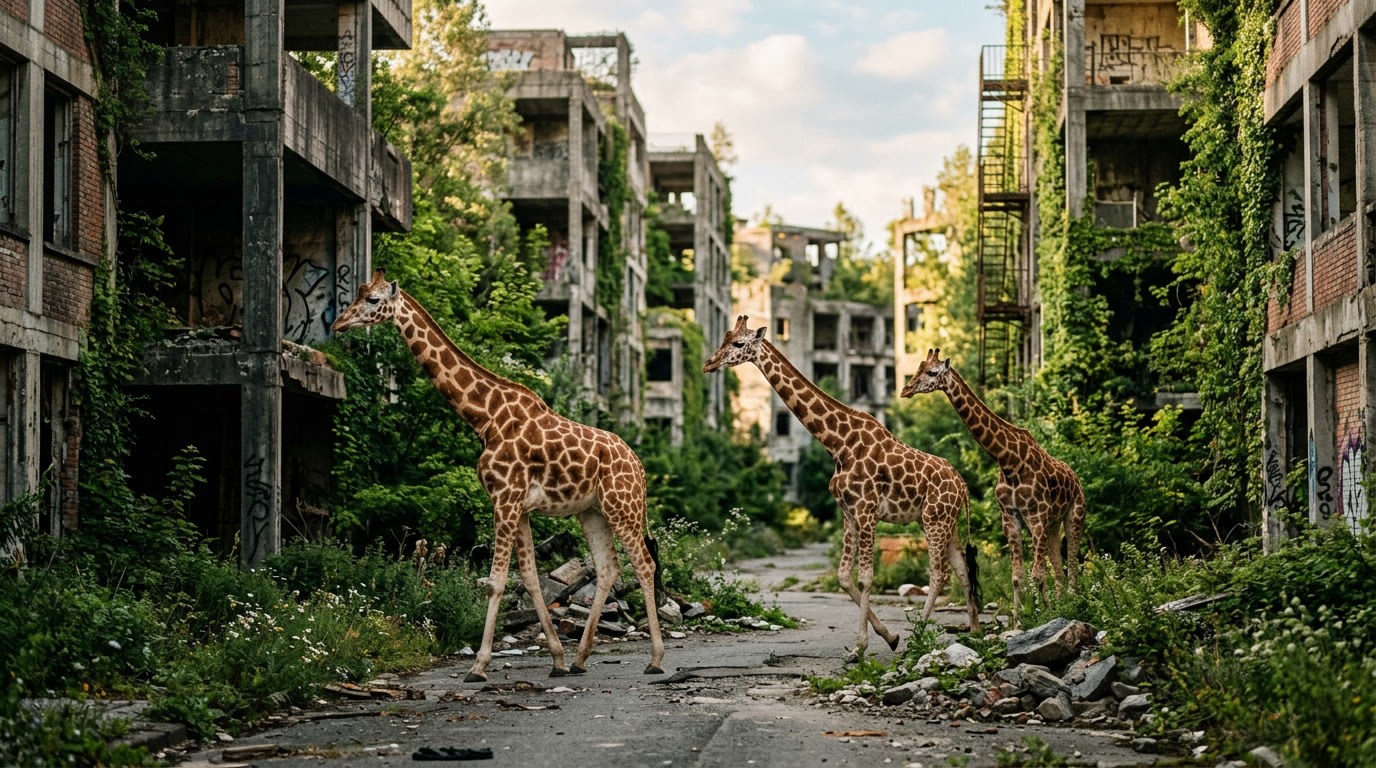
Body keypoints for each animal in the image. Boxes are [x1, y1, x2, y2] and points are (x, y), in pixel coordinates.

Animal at [332, 269, 665, 681]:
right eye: (359, 292)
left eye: (374, 300)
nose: (338, 323)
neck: (485, 418)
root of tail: (638, 466)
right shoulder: (516, 505)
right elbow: (530, 580)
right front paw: (557, 659)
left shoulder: (505, 499)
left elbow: (495, 582)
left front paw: (478, 666)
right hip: (592, 511)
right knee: (608, 568)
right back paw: (579, 658)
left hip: (623, 506)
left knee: (645, 564)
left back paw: (655, 659)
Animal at [704, 316, 980, 658]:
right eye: (725, 337)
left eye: (739, 343)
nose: (708, 363)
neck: (836, 443)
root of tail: (963, 485)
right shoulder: (847, 513)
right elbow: (844, 577)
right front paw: (889, 636)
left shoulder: (866, 511)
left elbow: (865, 578)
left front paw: (859, 648)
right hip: (944, 522)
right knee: (962, 571)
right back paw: (975, 632)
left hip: (934, 521)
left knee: (939, 574)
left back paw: (919, 634)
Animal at [901, 349, 1086, 623]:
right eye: (917, 369)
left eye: (932, 372)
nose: (906, 390)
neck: (1009, 461)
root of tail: (1075, 478)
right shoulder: (1010, 516)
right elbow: (1018, 577)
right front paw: (1020, 620)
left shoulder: (1037, 516)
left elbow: (1037, 576)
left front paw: (1041, 616)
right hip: (1053, 524)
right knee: (1059, 568)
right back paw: (1062, 603)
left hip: (1074, 516)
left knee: (1072, 564)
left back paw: (1072, 604)